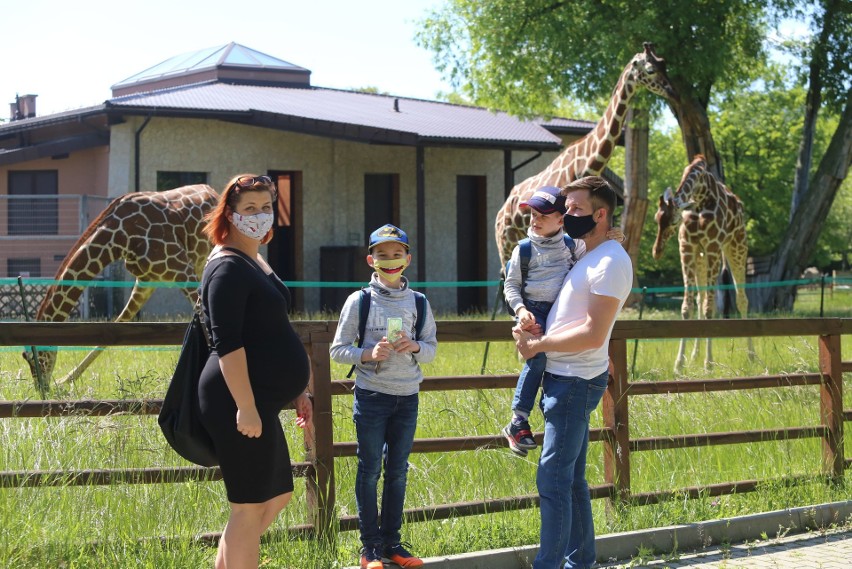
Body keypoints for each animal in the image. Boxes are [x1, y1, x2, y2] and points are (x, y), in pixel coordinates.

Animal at [23, 184, 220, 384]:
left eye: (31, 357)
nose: (41, 386)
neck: (120, 238)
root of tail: (213, 192)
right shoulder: (147, 281)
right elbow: (118, 323)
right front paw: (64, 381)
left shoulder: (182, 269)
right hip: (199, 266)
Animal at [492, 43, 680, 268]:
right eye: (650, 70)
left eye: (664, 65)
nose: (672, 91)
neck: (584, 165)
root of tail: (501, 212)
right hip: (505, 244)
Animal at [652, 153, 752, 370]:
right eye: (656, 218)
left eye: (674, 221)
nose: (657, 251)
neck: (700, 196)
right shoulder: (687, 248)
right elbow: (687, 307)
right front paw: (679, 363)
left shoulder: (713, 246)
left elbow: (709, 309)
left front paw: (709, 363)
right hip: (702, 257)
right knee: (701, 297)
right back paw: (694, 356)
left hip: (736, 247)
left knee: (741, 299)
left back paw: (752, 355)